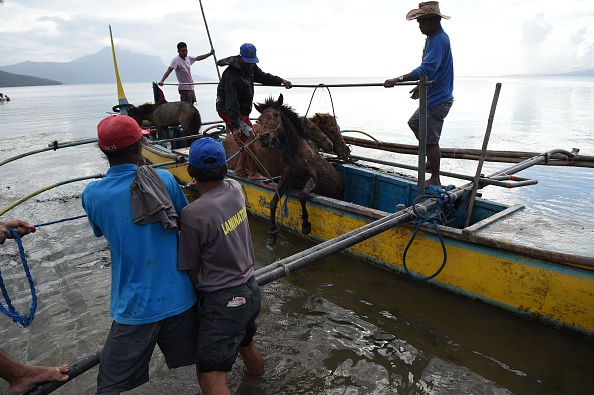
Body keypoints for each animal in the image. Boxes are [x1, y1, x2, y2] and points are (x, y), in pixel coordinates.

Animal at [253, 94, 342, 246]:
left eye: (276, 114)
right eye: (259, 119)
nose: (263, 138)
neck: (295, 154)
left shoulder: (312, 180)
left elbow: (302, 196)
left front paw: (306, 225)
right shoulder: (286, 179)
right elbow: (273, 203)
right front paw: (271, 233)